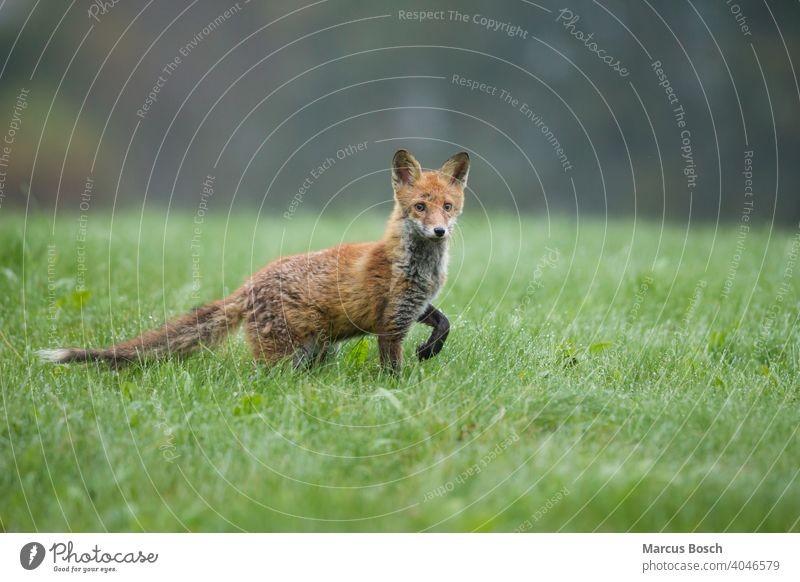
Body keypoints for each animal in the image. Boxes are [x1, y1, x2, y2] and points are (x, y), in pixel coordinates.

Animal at [42, 151, 468, 374]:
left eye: (447, 206)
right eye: (420, 207)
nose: (438, 231)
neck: (417, 265)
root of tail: (248, 283)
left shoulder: (413, 305)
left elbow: (443, 322)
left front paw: (431, 348)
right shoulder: (390, 324)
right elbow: (392, 372)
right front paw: (397, 393)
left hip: (317, 349)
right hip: (289, 352)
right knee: (262, 381)